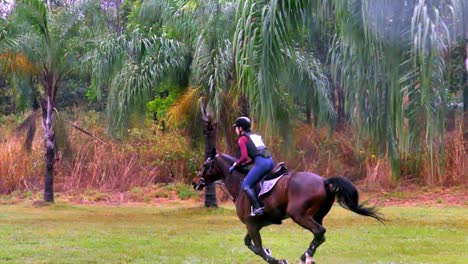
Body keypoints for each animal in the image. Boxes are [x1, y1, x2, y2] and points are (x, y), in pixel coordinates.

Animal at [192, 148, 382, 264]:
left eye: (205, 165)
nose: (195, 183)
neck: (239, 184)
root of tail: (324, 181)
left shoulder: (251, 224)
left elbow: (257, 247)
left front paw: (276, 259)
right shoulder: (255, 224)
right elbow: (250, 243)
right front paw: (269, 252)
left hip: (298, 215)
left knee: (319, 231)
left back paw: (305, 256)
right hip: (316, 215)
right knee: (320, 235)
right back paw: (308, 256)